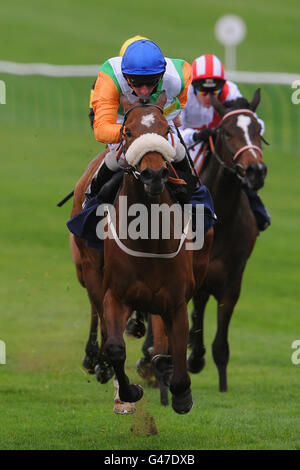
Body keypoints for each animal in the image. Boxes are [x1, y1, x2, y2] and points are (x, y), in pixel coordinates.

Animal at [70, 92, 211, 414]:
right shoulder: (116, 295)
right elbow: (115, 346)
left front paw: (180, 392)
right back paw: (99, 363)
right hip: (88, 271)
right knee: (97, 311)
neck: (149, 237)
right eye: (129, 132)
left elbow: (177, 346)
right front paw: (128, 391)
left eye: (165, 130)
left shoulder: (175, 301)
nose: (154, 174)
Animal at [188, 90, 268, 392]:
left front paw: (221, 385)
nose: (256, 170)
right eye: (226, 131)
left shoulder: (233, 280)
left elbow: (221, 345)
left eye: (258, 130)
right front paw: (192, 358)